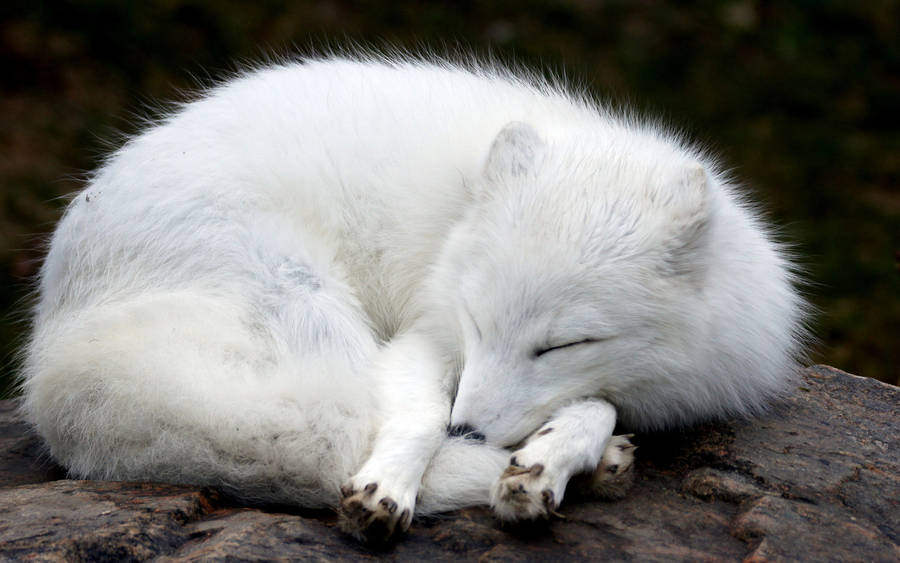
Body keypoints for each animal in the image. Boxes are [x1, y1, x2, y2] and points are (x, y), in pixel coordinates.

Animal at [21, 54, 808, 540]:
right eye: (477, 322)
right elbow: (417, 417)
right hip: (306, 304)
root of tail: (54, 335)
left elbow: (596, 401)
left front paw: (557, 452)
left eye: (563, 344)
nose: (473, 430)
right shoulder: (424, 334)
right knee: (329, 442)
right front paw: (396, 484)